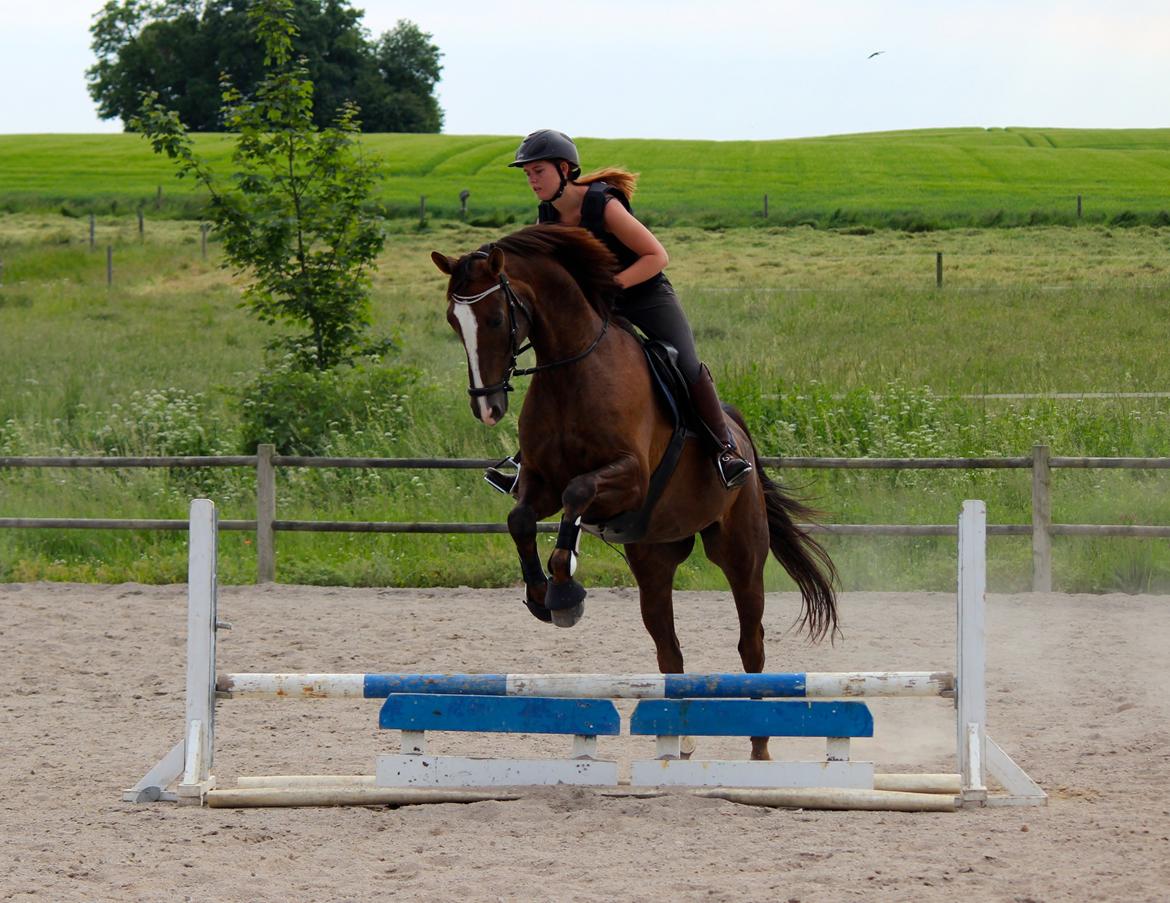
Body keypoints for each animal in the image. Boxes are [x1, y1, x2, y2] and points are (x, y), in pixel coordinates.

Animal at [435, 222, 837, 757]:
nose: (487, 408)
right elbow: (521, 517)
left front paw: (565, 589)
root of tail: (741, 436)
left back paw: (758, 747)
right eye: (453, 322)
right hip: (654, 559)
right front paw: (542, 594)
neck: (571, 370)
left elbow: (578, 493)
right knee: (669, 651)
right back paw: (678, 742)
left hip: (741, 553)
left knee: (751, 645)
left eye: (497, 317)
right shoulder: (539, 482)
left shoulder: (629, 478)